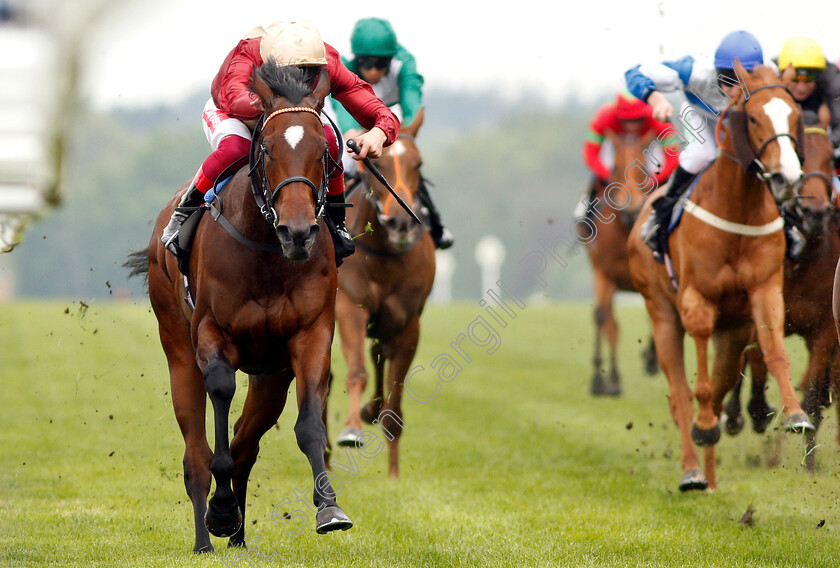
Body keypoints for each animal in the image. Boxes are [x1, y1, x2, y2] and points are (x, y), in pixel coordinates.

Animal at [124, 63, 352, 556]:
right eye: (267, 149)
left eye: (325, 152)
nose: (298, 232)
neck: (267, 251)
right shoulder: (212, 334)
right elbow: (221, 399)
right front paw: (222, 508)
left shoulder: (310, 335)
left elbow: (309, 424)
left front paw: (329, 509)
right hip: (177, 350)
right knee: (196, 453)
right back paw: (206, 538)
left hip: (270, 377)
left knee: (247, 442)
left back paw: (238, 538)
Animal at [330, 108, 434, 478]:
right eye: (376, 165)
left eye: (419, 164)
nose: (401, 224)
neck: (386, 258)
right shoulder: (349, 307)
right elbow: (357, 371)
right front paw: (351, 429)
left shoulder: (408, 323)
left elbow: (394, 399)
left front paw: (393, 476)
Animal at [632, 60, 812, 490]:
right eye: (753, 117)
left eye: (794, 114)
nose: (786, 178)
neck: (739, 210)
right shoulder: (697, 298)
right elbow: (696, 383)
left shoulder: (765, 290)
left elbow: (774, 350)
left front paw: (796, 415)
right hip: (661, 312)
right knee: (680, 393)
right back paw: (693, 470)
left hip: (732, 332)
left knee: (719, 384)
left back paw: (710, 469)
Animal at [720, 116, 840, 470]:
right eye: (801, 156)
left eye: (830, 157)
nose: (815, 213)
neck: (804, 260)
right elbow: (758, 361)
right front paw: (758, 413)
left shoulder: (824, 331)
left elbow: (813, 389)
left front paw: (809, 458)